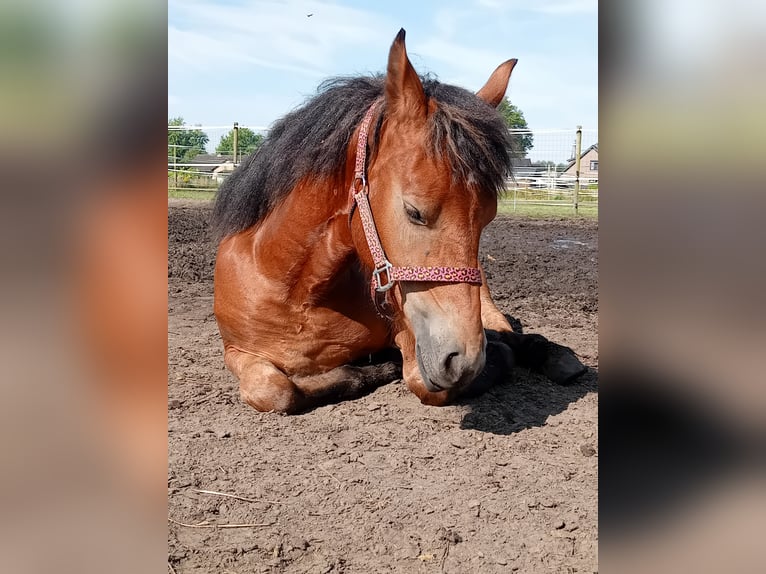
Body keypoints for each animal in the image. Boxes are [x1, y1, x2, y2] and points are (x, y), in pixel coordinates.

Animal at [212, 29, 586, 414]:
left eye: (488, 218)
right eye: (414, 211)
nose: (464, 359)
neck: (295, 291)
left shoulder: (413, 334)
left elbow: (427, 381)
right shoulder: (236, 352)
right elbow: (273, 389)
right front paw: (365, 372)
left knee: (505, 332)